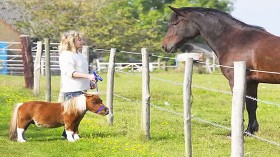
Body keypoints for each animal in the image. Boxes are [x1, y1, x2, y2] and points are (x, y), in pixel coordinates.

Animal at [162, 6, 280, 134]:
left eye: (175, 23)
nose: (164, 45)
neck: (237, 41)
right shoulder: (252, 82)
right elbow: (251, 105)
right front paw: (250, 131)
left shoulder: (237, 81)